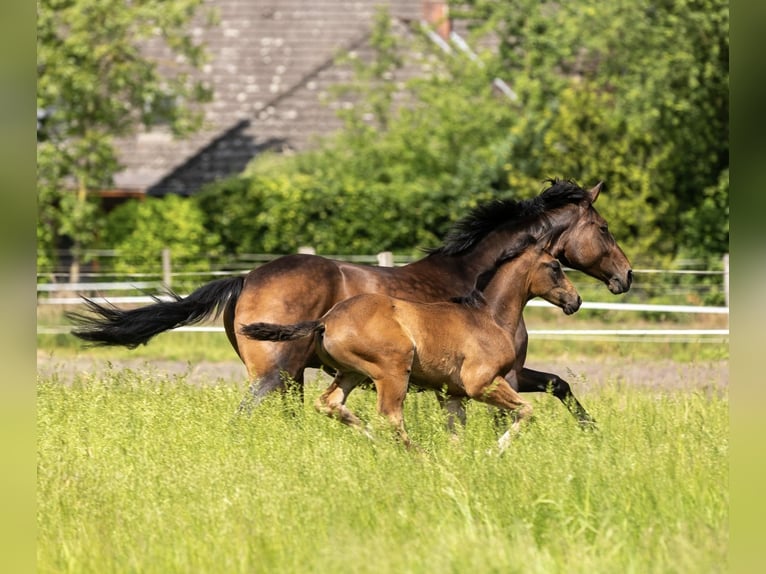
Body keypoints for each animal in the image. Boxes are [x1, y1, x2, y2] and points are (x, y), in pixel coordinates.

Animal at [240, 241, 584, 448]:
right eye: (555, 266)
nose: (575, 300)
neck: (487, 316)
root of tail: (325, 320)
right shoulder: (481, 384)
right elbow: (526, 411)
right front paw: (494, 451)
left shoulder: (451, 394)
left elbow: (456, 434)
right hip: (392, 372)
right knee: (389, 415)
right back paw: (419, 455)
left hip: (352, 373)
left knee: (331, 403)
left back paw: (379, 444)